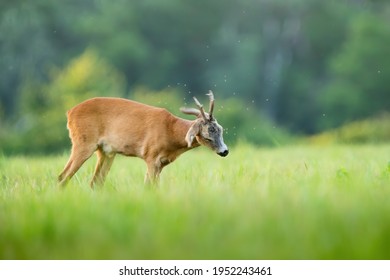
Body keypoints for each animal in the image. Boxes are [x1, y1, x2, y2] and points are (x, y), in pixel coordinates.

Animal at [58, 91, 229, 188]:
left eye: (220, 129)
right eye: (210, 131)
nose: (225, 151)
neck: (171, 132)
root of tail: (69, 113)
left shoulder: (161, 163)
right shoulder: (151, 156)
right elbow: (149, 186)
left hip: (106, 152)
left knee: (95, 182)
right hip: (83, 143)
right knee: (63, 177)